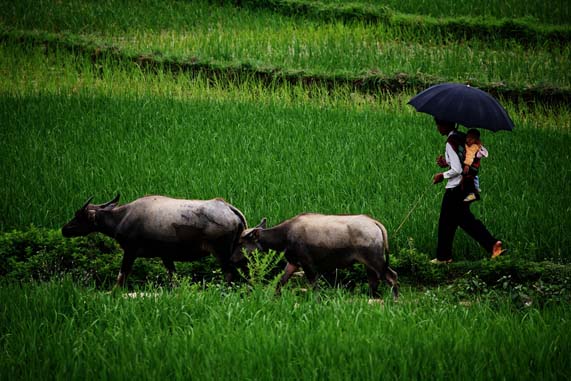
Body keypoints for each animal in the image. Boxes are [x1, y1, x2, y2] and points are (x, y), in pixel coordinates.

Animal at [62, 194, 248, 286]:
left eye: (79, 216)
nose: (64, 229)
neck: (122, 217)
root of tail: (229, 208)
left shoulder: (130, 251)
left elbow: (121, 277)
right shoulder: (166, 256)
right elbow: (174, 278)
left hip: (222, 253)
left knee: (230, 274)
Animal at [239, 212, 400, 298]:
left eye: (241, 242)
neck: (285, 235)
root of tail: (375, 223)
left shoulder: (307, 264)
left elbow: (313, 286)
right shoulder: (293, 263)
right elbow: (281, 282)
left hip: (375, 259)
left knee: (392, 276)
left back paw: (395, 301)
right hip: (368, 264)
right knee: (374, 282)